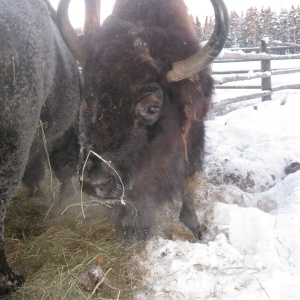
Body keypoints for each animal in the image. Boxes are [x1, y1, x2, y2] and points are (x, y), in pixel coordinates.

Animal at [56, 0, 229, 241]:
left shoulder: (194, 134)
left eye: (152, 107)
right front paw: (129, 228)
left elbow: (189, 180)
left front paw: (195, 229)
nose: (95, 181)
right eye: (87, 97)